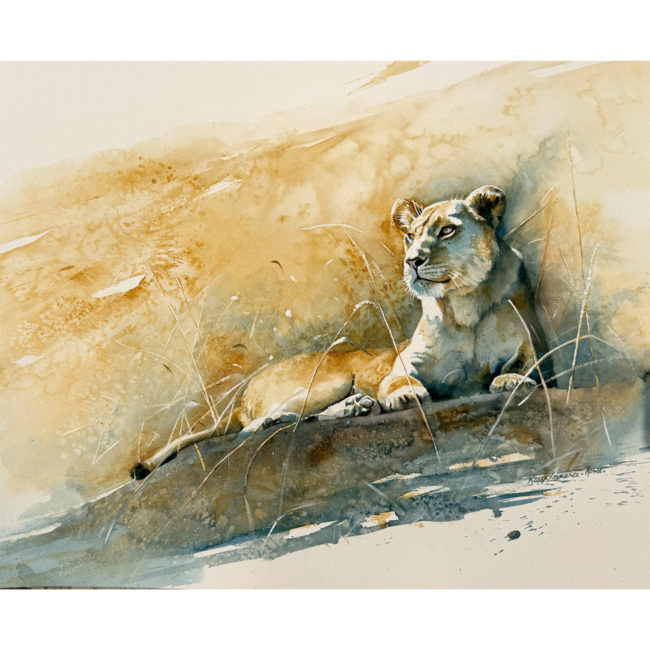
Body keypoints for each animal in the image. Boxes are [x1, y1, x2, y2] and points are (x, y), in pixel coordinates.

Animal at [132, 185, 550, 478]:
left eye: (447, 230)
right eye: (410, 236)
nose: (412, 261)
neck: (464, 309)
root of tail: (241, 396)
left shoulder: (534, 350)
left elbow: (527, 367)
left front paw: (510, 380)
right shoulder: (402, 365)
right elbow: (398, 380)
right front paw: (405, 396)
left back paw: (357, 407)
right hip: (326, 382)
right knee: (250, 430)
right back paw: (285, 418)